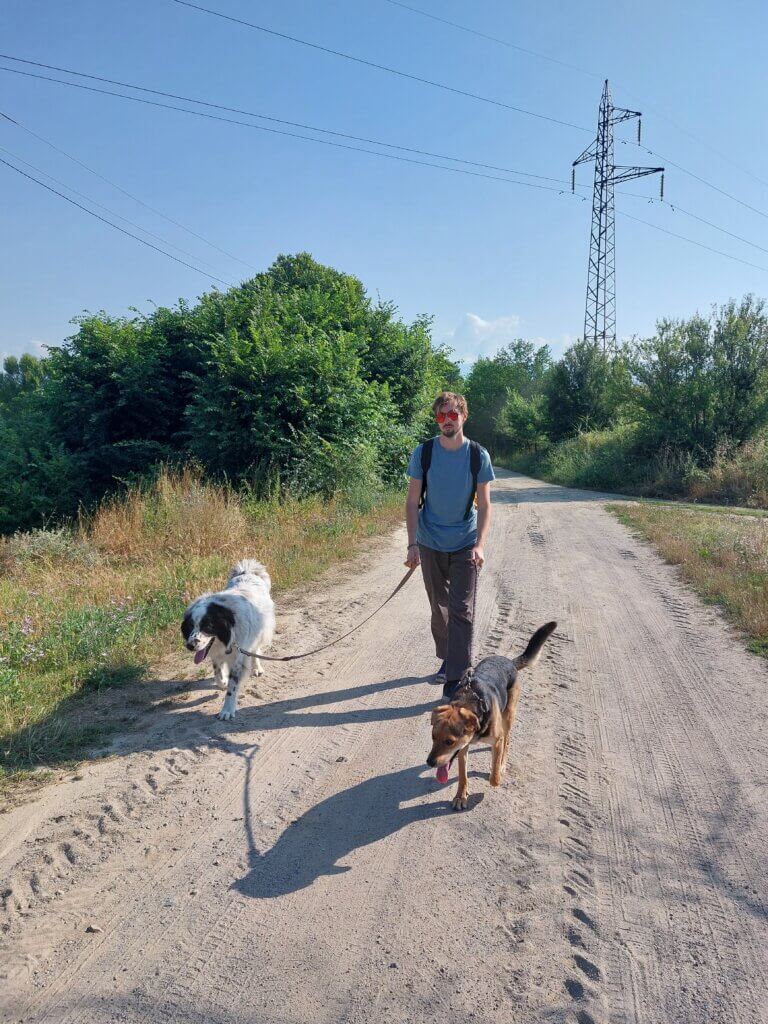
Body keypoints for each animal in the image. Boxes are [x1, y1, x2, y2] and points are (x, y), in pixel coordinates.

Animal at [180, 561, 276, 720]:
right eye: (190, 625)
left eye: (208, 626)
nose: (190, 646)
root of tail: (247, 571)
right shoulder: (216, 653)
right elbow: (217, 672)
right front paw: (222, 681)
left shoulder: (238, 656)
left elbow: (232, 687)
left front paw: (227, 710)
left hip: (260, 631)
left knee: (255, 650)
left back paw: (256, 668)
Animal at [428, 618, 561, 811]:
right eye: (433, 737)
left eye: (449, 742)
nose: (429, 762)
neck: (470, 701)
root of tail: (509, 662)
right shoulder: (463, 749)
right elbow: (462, 775)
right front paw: (461, 796)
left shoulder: (494, 740)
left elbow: (494, 777)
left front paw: (496, 776)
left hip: (508, 716)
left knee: (507, 739)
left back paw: (503, 762)